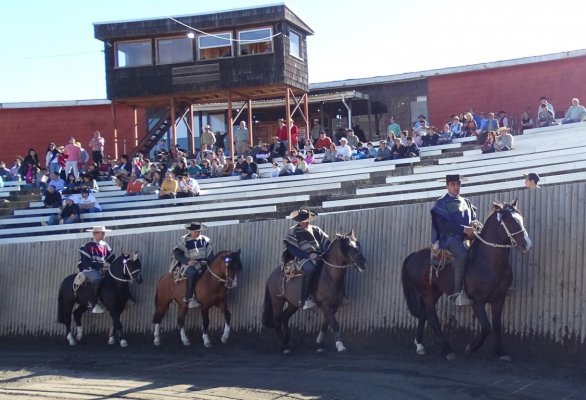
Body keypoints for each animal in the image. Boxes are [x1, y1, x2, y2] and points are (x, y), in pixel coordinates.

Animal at [402, 202, 528, 360]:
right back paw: (448, 349)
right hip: (426, 292)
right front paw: (471, 347)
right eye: (510, 220)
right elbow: (486, 327)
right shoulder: (477, 301)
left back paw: (419, 345)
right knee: (432, 318)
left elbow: (497, 326)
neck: (487, 262)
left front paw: (501, 352)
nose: (526, 244)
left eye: (521, 218)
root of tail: (414, 256)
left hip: (435, 292)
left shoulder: (499, 299)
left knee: (424, 315)